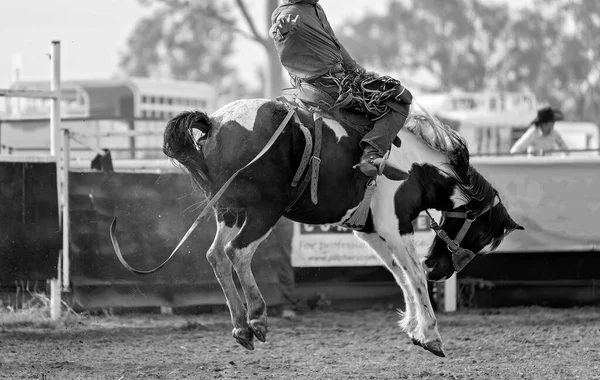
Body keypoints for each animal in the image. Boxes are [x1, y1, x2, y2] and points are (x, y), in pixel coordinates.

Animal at [110, 97, 524, 356]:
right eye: (483, 235)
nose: (440, 268)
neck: (414, 167)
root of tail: (215, 123)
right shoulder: (395, 226)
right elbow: (413, 276)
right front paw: (431, 335)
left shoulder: (369, 230)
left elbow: (399, 274)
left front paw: (412, 328)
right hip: (263, 211)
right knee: (236, 252)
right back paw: (257, 317)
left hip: (228, 210)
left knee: (216, 255)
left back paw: (241, 326)